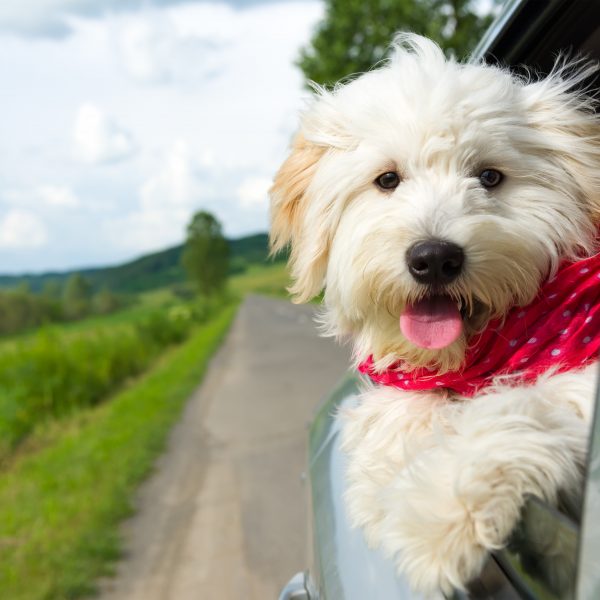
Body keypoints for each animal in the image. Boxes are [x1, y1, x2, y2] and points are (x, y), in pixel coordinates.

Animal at [270, 35, 600, 596]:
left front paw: (439, 515)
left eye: (489, 176)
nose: (433, 258)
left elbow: (515, 404)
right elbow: (397, 413)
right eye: (387, 179)